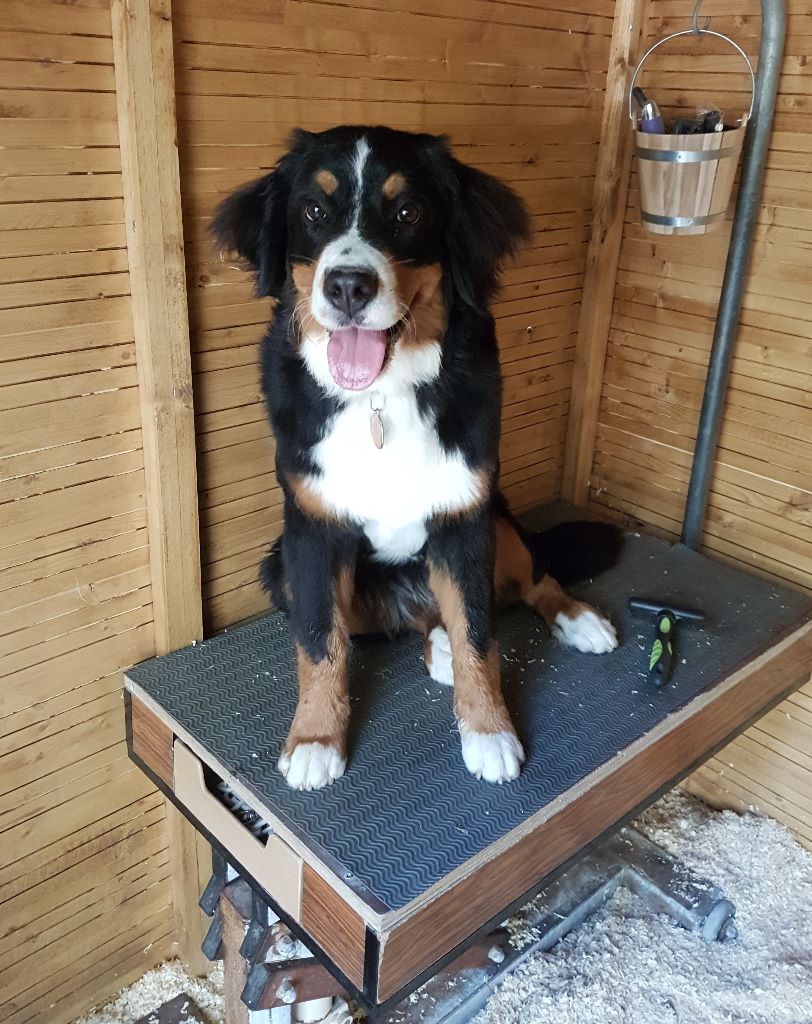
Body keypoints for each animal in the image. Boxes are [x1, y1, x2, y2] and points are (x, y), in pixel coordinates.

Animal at [211, 125, 618, 790]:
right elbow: (318, 643)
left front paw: (489, 730)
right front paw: (316, 738)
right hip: (279, 569)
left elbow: (480, 633)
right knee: (409, 622)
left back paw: (576, 619)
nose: (348, 286)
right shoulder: (311, 532)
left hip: (498, 519)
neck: (379, 395)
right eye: (314, 212)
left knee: (526, 581)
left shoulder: (464, 516)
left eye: (407, 213)